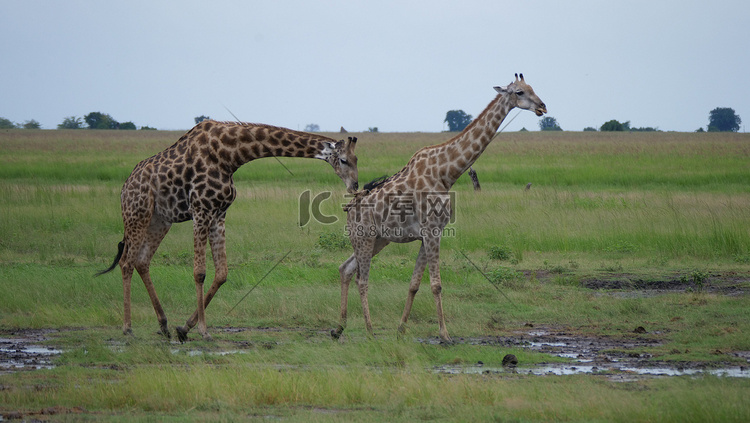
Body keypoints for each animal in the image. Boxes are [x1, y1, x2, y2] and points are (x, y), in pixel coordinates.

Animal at [98, 118, 360, 342]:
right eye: (344, 160)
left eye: (357, 159)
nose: (355, 185)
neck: (231, 155)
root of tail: (125, 187)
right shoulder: (201, 210)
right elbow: (199, 272)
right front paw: (203, 331)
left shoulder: (219, 213)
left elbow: (222, 273)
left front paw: (185, 327)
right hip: (137, 214)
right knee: (126, 262)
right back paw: (128, 328)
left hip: (160, 220)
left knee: (142, 261)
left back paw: (163, 325)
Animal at [334, 74, 548, 342]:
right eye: (519, 92)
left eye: (533, 88)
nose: (543, 107)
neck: (448, 172)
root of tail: (349, 208)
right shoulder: (432, 231)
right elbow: (436, 285)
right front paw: (445, 335)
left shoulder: (427, 234)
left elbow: (414, 284)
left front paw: (401, 329)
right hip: (363, 237)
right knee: (362, 280)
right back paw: (370, 331)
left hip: (378, 240)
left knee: (345, 268)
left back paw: (339, 328)